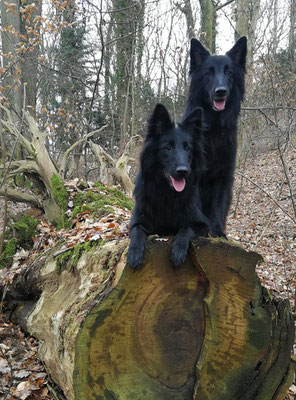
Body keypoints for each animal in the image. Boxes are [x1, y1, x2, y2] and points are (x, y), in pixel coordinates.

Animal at [127, 104, 208, 270]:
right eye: (168, 147)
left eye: (188, 148)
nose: (183, 171)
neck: (167, 193)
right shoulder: (137, 220)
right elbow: (137, 230)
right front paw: (134, 252)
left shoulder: (203, 225)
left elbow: (186, 228)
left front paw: (178, 251)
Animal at [184, 36, 249, 238]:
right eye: (208, 74)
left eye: (229, 73)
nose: (221, 91)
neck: (212, 128)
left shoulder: (224, 176)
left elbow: (219, 206)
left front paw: (218, 232)